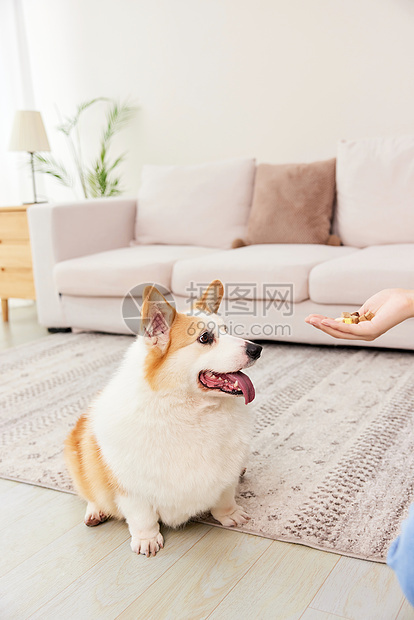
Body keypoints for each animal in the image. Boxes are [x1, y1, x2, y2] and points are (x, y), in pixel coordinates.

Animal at [65, 280, 262, 556]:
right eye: (205, 338)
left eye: (227, 330)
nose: (257, 349)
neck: (192, 411)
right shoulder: (132, 490)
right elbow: (142, 517)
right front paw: (147, 540)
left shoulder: (225, 476)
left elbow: (225, 497)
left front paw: (230, 515)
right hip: (79, 451)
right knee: (90, 488)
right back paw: (96, 510)